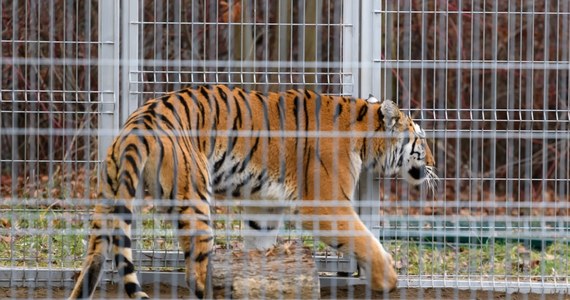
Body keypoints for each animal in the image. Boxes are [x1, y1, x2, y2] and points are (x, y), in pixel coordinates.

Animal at [69, 83, 438, 298]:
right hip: (196, 202)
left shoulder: (265, 208)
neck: (362, 130)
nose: (436, 164)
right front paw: (389, 279)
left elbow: (259, 249)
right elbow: (365, 241)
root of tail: (136, 127)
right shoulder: (326, 205)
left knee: (91, 266)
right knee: (195, 275)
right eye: (421, 141)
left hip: (107, 207)